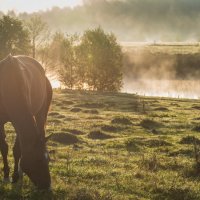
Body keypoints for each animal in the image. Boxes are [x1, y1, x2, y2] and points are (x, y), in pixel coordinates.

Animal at [0, 54, 52, 189]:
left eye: (48, 159)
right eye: (38, 160)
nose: (47, 186)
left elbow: (17, 149)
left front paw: (15, 176)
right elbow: (4, 147)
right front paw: (6, 175)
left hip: (41, 113)